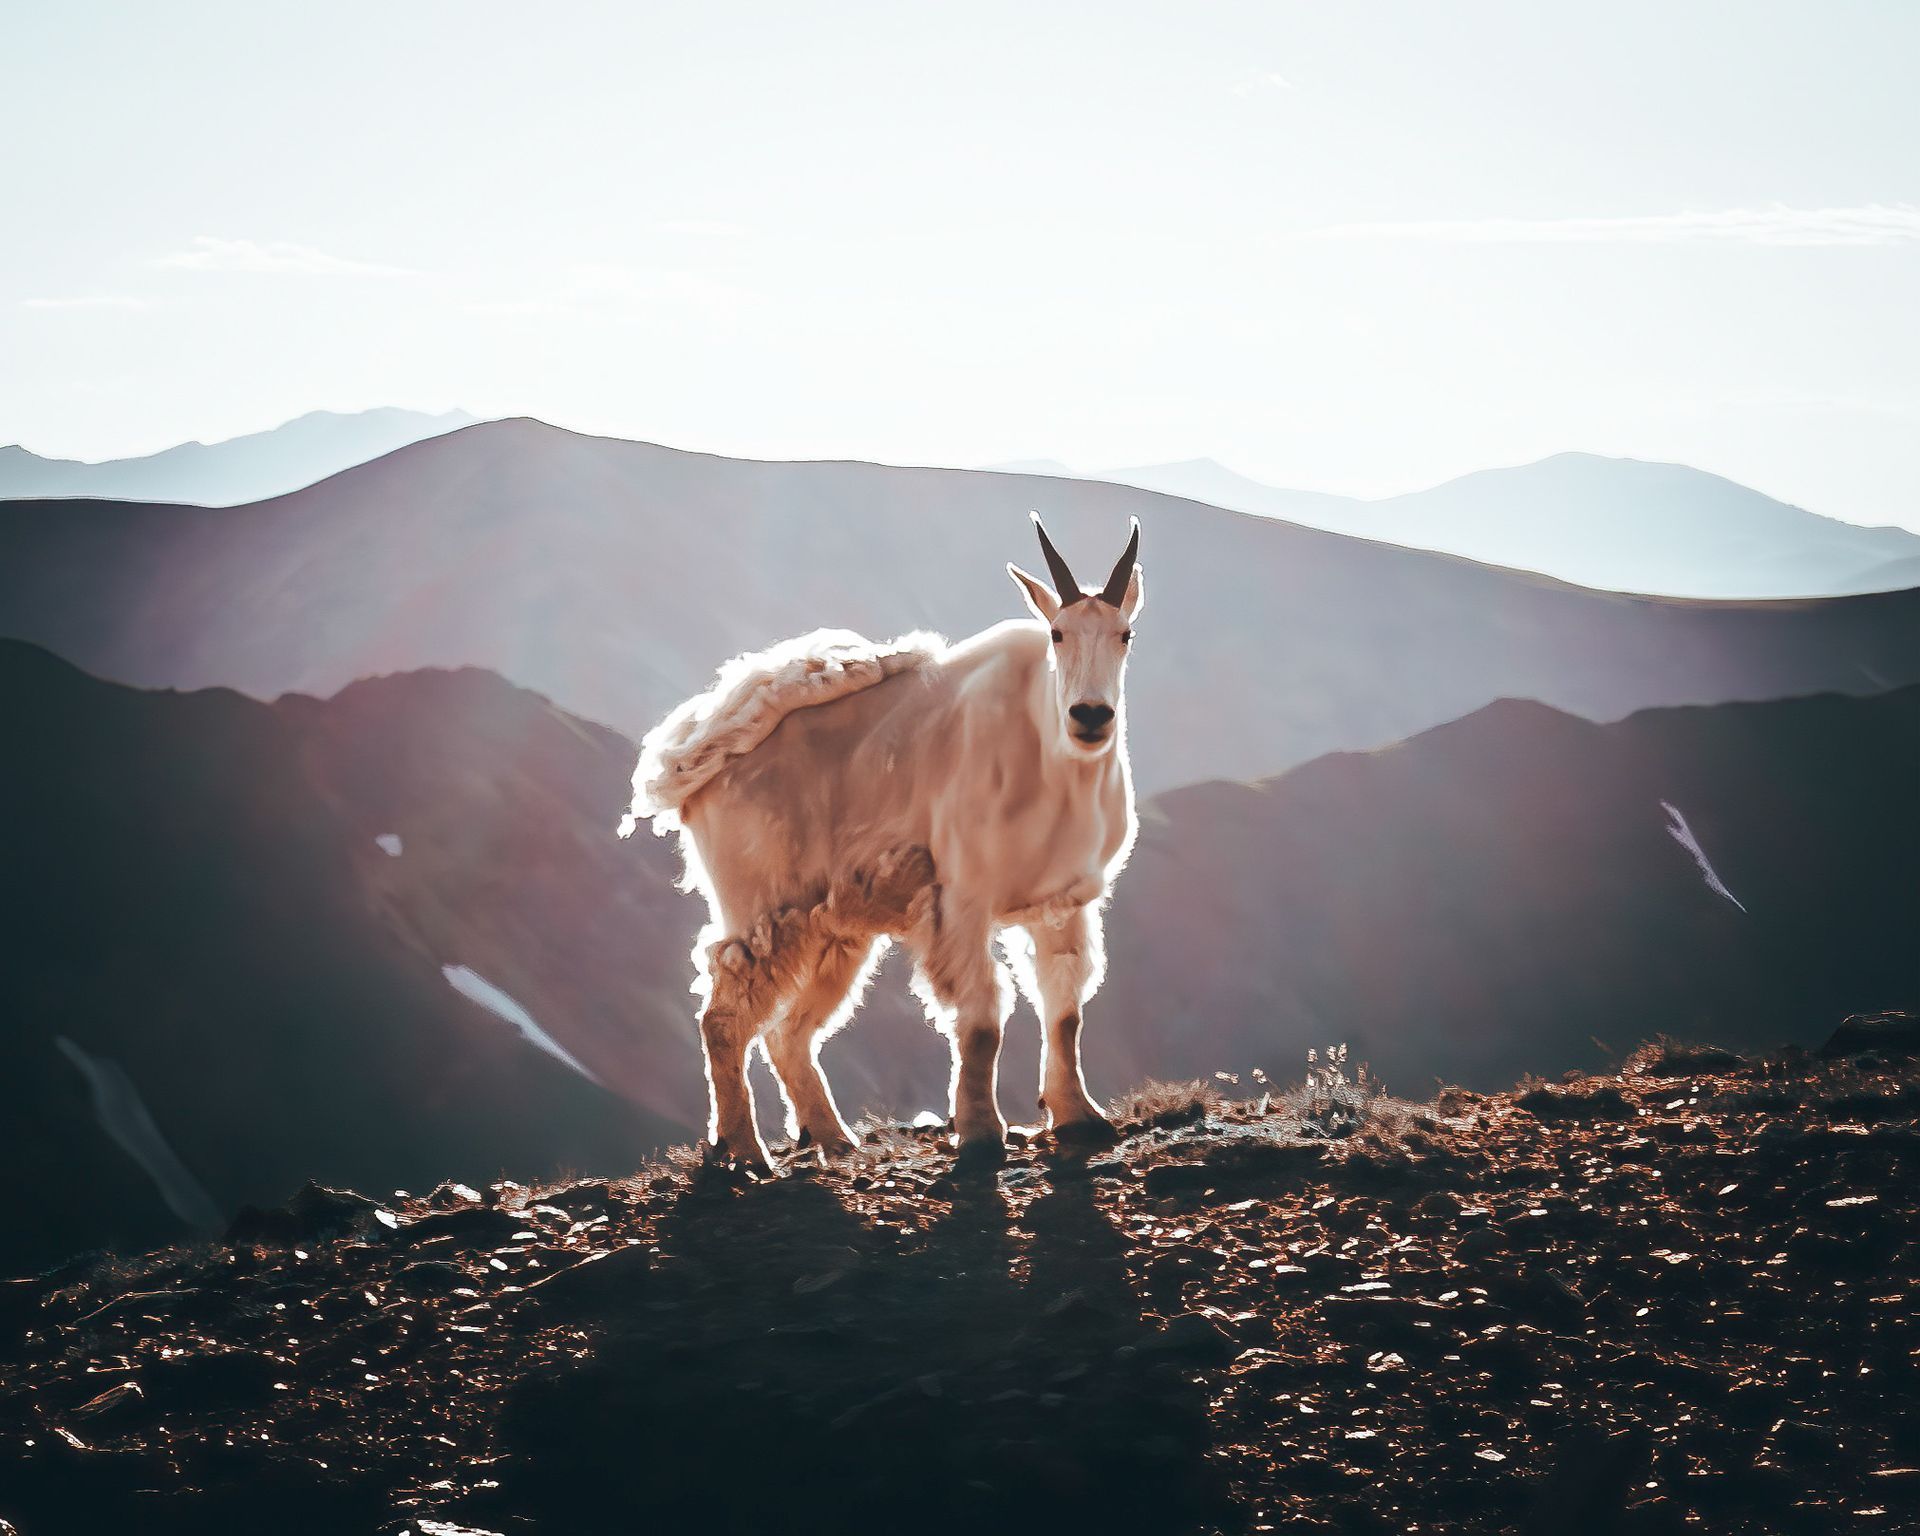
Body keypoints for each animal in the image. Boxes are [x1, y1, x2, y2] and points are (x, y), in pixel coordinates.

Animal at [621, 515, 1144, 1171]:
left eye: (1126, 634)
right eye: (1057, 633)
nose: (1091, 716)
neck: (1053, 764)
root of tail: (697, 767)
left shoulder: (1064, 903)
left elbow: (1066, 1010)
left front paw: (1080, 1118)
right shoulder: (962, 900)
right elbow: (983, 1020)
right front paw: (981, 1134)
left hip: (831, 928)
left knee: (787, 1032)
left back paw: (831, 1137)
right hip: (760, 907)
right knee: (724, 1018)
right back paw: (746, 1151)